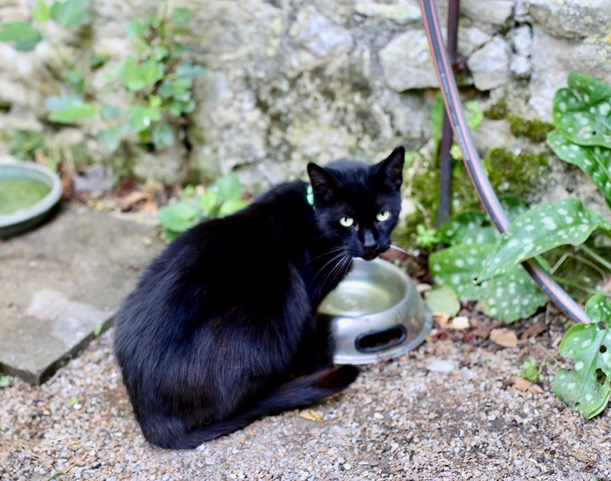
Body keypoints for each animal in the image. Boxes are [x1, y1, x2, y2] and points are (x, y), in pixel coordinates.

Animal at [113, 146, 405, 449]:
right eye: (347, 220)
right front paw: (320, 360)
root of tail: (151, 420)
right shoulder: (306, 296)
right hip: (285, 292)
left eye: (383, 215)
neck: (314, 218)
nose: (371, 244)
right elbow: (309, 334)